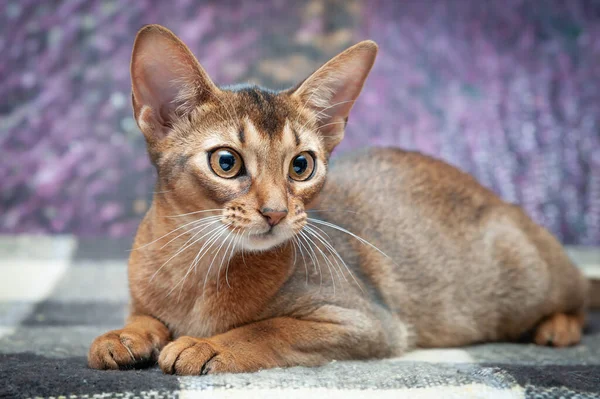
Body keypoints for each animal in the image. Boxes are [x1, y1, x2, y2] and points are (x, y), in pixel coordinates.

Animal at [86, 24, 588, 376]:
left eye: (301, 166)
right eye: (226, 162)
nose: (276, 212)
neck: (195, 264)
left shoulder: (366, 322)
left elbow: (268, 327)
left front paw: (206, 344)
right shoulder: (144, 295)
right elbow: (145, 316)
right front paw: (124, 335)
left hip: (527, 279)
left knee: (580, 293)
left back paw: (558, 326)